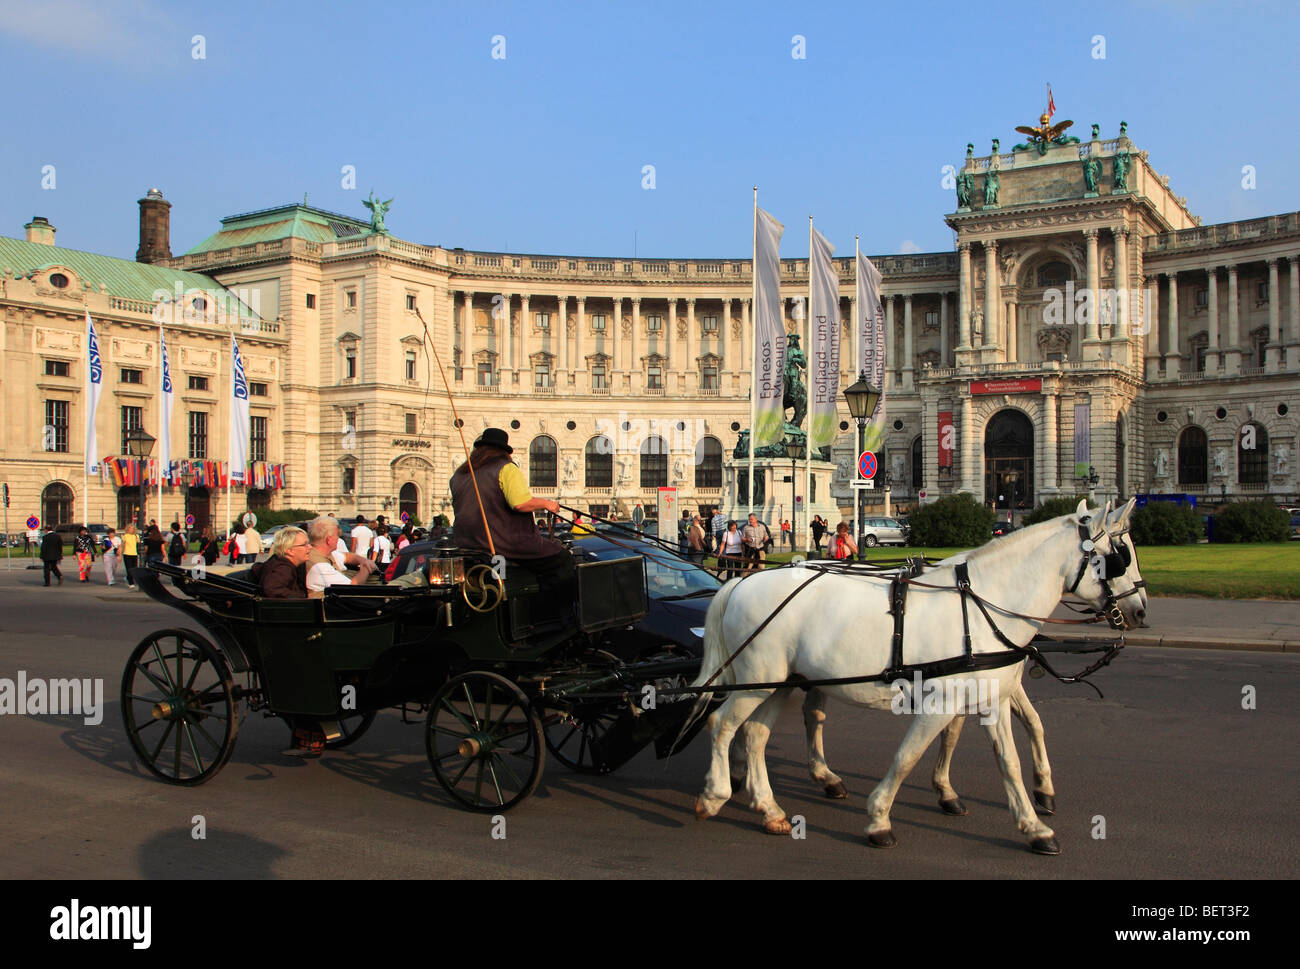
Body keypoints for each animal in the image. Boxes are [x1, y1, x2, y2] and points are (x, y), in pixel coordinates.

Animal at [696, 499, 1144, 853]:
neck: (982, 605)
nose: (1140, 611)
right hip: (759, 682)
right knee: (723, 724)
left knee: (757, 735)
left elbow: (1009, 759)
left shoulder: (992, 698)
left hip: (778, 684)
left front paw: (1034, 824)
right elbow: (907, 756)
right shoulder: (941, 704)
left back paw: (770, 806)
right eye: (1119, 556)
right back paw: (718, 793)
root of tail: (741, 581)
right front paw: (879, 819)